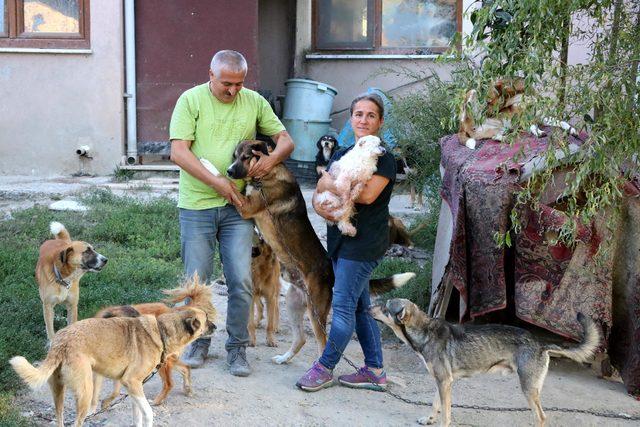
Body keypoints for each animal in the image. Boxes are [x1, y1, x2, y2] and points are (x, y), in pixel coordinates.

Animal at [10, 308, 214, 427]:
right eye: (206, 320)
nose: (216, 326)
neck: (161, 332)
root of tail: (61, 341)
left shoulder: (134, 388)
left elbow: (138, 416)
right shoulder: (131, 382)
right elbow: (148, 413)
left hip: (58, 392)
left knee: (60, 419)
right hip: (85, 393)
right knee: (77, 422)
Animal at [225, 140, 416, 364]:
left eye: (246, 157)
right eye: (235, 156)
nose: (229, 170)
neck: (267, 174)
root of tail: (331, 271)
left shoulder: (247, 207)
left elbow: (230, 189)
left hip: (315, 310)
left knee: (322, 344)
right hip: (293, 303)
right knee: (301, 339)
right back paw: (283, 359)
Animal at [370, 300, 600, 426]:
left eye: (384, 306)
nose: (366, 308)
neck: (424, 331)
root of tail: (540, 343)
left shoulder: (444, 382)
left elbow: (446, 413)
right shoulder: (442, 381)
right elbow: (436, 405)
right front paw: (428, 420)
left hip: (528, 389)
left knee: (541, 418)